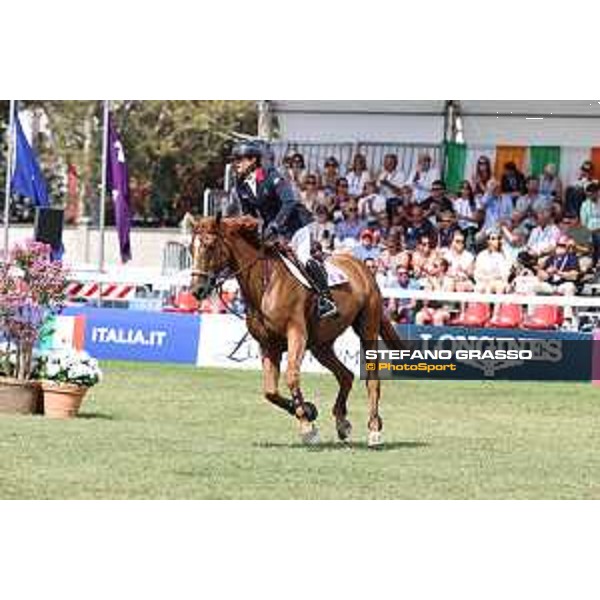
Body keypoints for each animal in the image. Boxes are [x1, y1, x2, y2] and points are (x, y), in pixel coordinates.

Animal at [190, 216, 406, 446]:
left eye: (210, 246)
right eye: (191, 248)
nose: (197, 290)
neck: (265, 285)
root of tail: (360, 265)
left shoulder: (296, 334)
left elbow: (292, 376)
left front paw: (307, 427)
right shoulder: (269, 346)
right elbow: (270, 391)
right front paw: (308, 411)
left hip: (367, 329)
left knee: (372, 380)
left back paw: (374, 429)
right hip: (321, 345)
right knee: (345, 375)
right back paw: (342, 423)